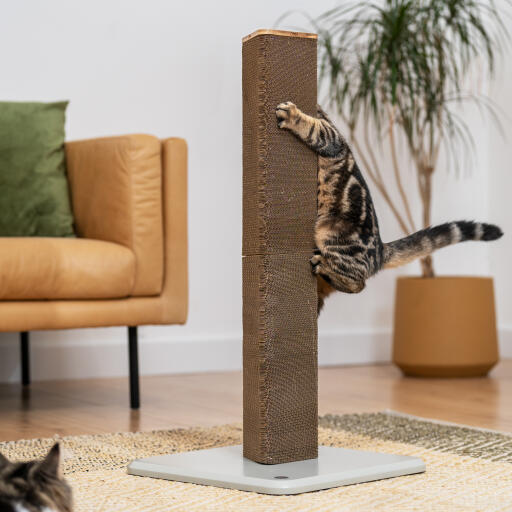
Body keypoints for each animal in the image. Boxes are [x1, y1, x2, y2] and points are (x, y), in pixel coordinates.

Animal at [274, 99, 502, 308]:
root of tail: (380, 251)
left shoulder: (334, 139)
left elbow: (314, 129)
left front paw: (292, 116)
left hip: (331, 234)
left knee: (358, 284)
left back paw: (324, 266)